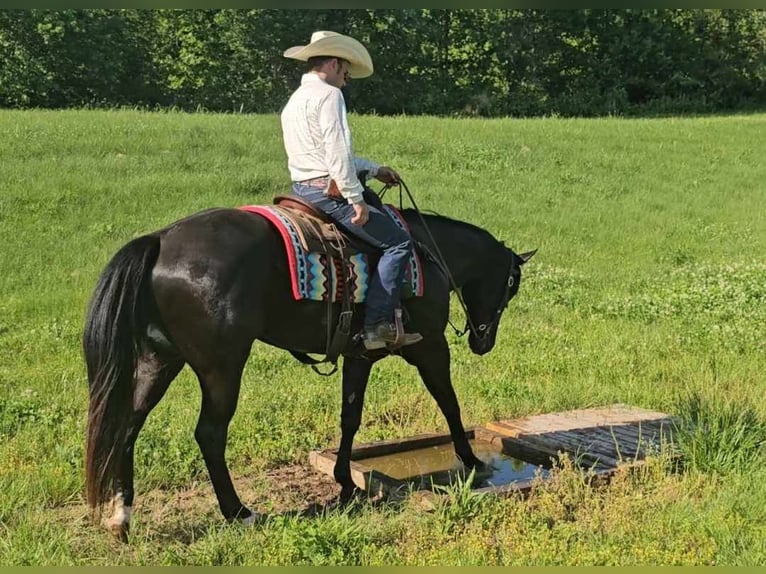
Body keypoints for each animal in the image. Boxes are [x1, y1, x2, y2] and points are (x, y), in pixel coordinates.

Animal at [82, 201, 536, 540]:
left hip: (158, 360)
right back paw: (239, 512)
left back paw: (121, 516)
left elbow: (350, 417)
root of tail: (160, 240)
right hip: (222, 368)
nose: (483, 341)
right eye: (511, 285)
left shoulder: (359, 356)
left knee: (126, 426)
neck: (428, 253)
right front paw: (470, 459)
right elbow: (449, 403)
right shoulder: (430, 348)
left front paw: (345, 482)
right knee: (209, 434)